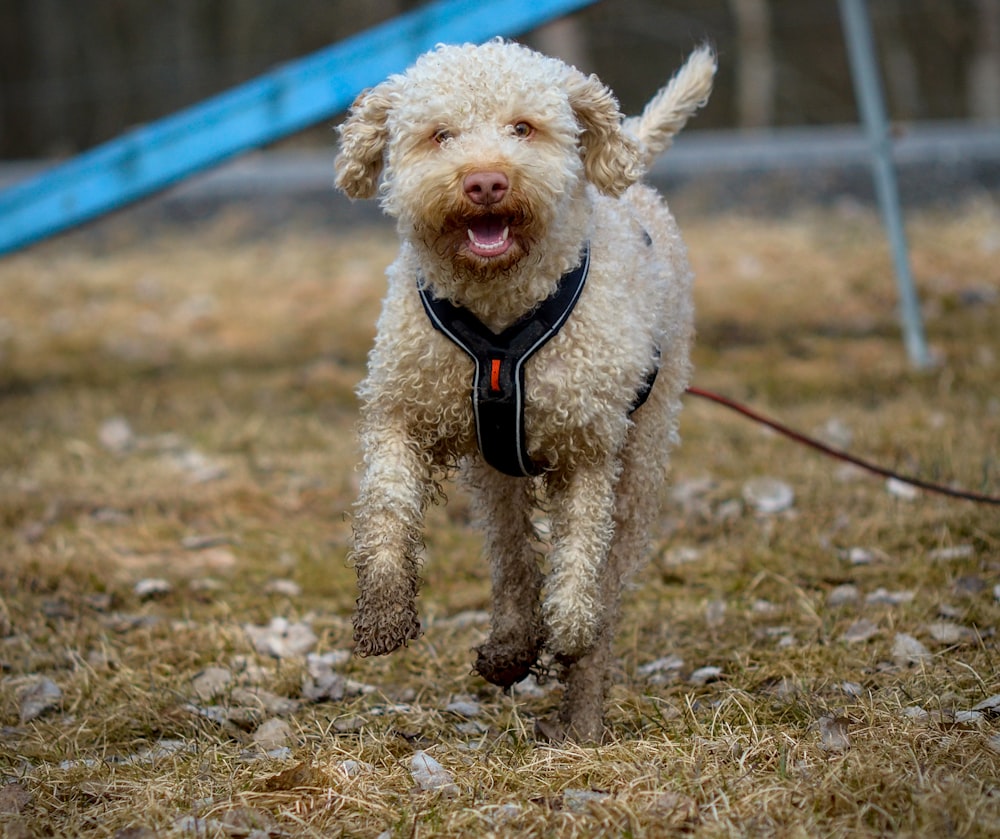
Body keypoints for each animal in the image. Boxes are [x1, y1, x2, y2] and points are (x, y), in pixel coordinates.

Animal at [340, 37, 716, 740]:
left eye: (523, 128)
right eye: (441, 135)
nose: (486, 182)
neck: (499, 313)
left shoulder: (589, 448)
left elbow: (579, 555)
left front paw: (567, 628)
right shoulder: (402, 408)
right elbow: (387, 505)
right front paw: (383, 610)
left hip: (643, 459)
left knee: (604, 579)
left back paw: (581, 713)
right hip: (496, 473)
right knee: (512, 556)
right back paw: (510, 647)